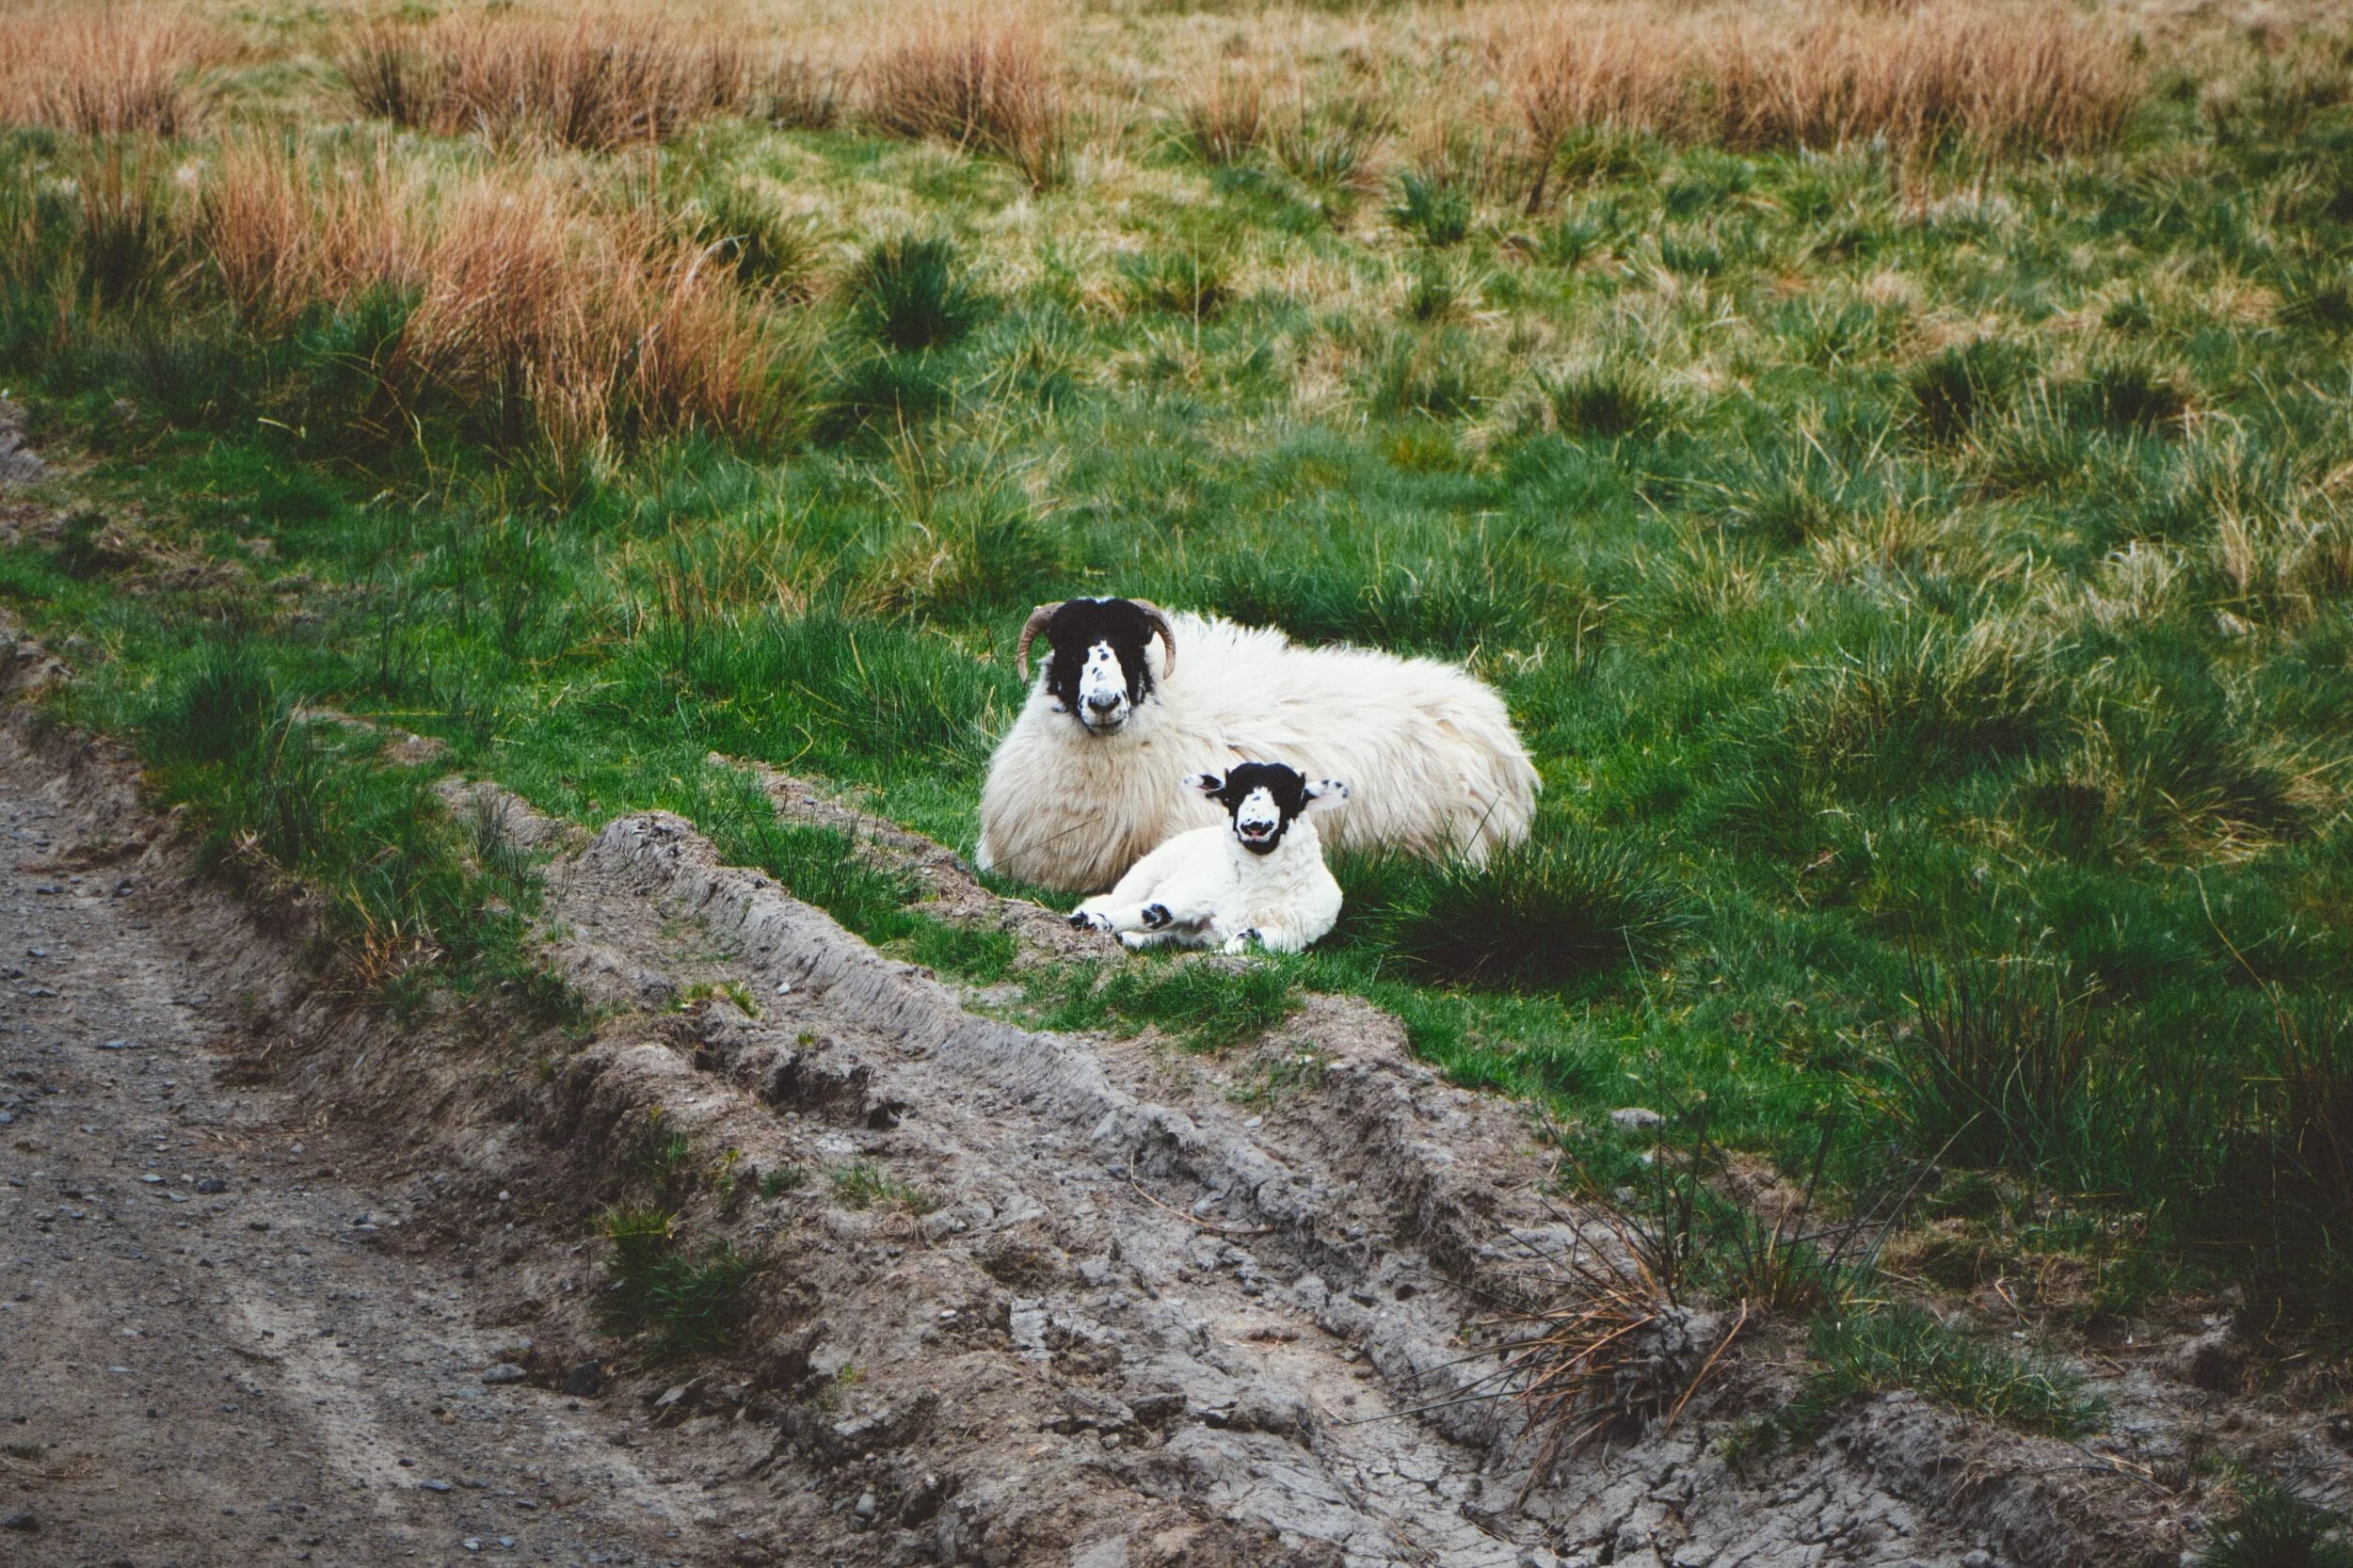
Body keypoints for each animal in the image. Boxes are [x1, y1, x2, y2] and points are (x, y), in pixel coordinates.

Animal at [1069, 763, 1348, 954]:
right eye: (1231, 797)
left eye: (1292, 796)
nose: (1255, 827)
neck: (1253, 888)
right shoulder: (1193, 897)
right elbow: (1153, 913)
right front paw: (1093, 922)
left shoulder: (1291, 933)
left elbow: (1248, 938)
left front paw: (1225, 952)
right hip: (1144, 874)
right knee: (1114, 900)